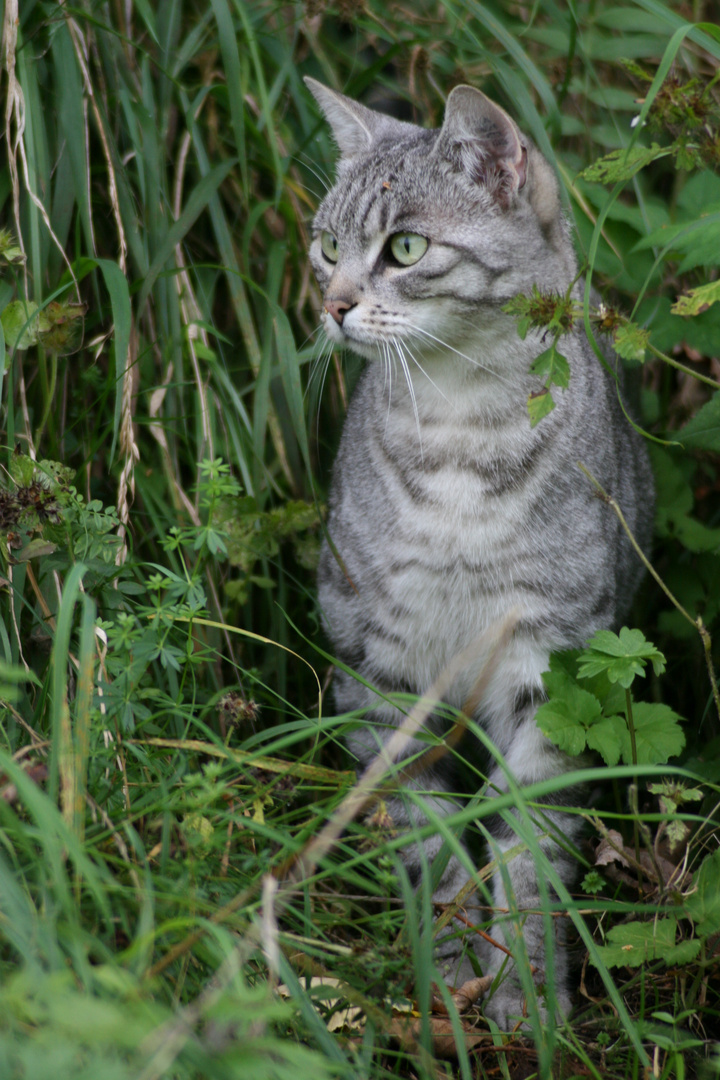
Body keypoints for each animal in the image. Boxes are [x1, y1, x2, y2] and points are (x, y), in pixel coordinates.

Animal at [306, 78, 656, 1028]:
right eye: (327, 245)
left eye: (405, 247)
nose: (331, 305)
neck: (460, 427)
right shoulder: (377, 665)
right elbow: (425, 831)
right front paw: (451, 963)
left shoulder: (554, 662)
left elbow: (528, 844)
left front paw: (526, 998)